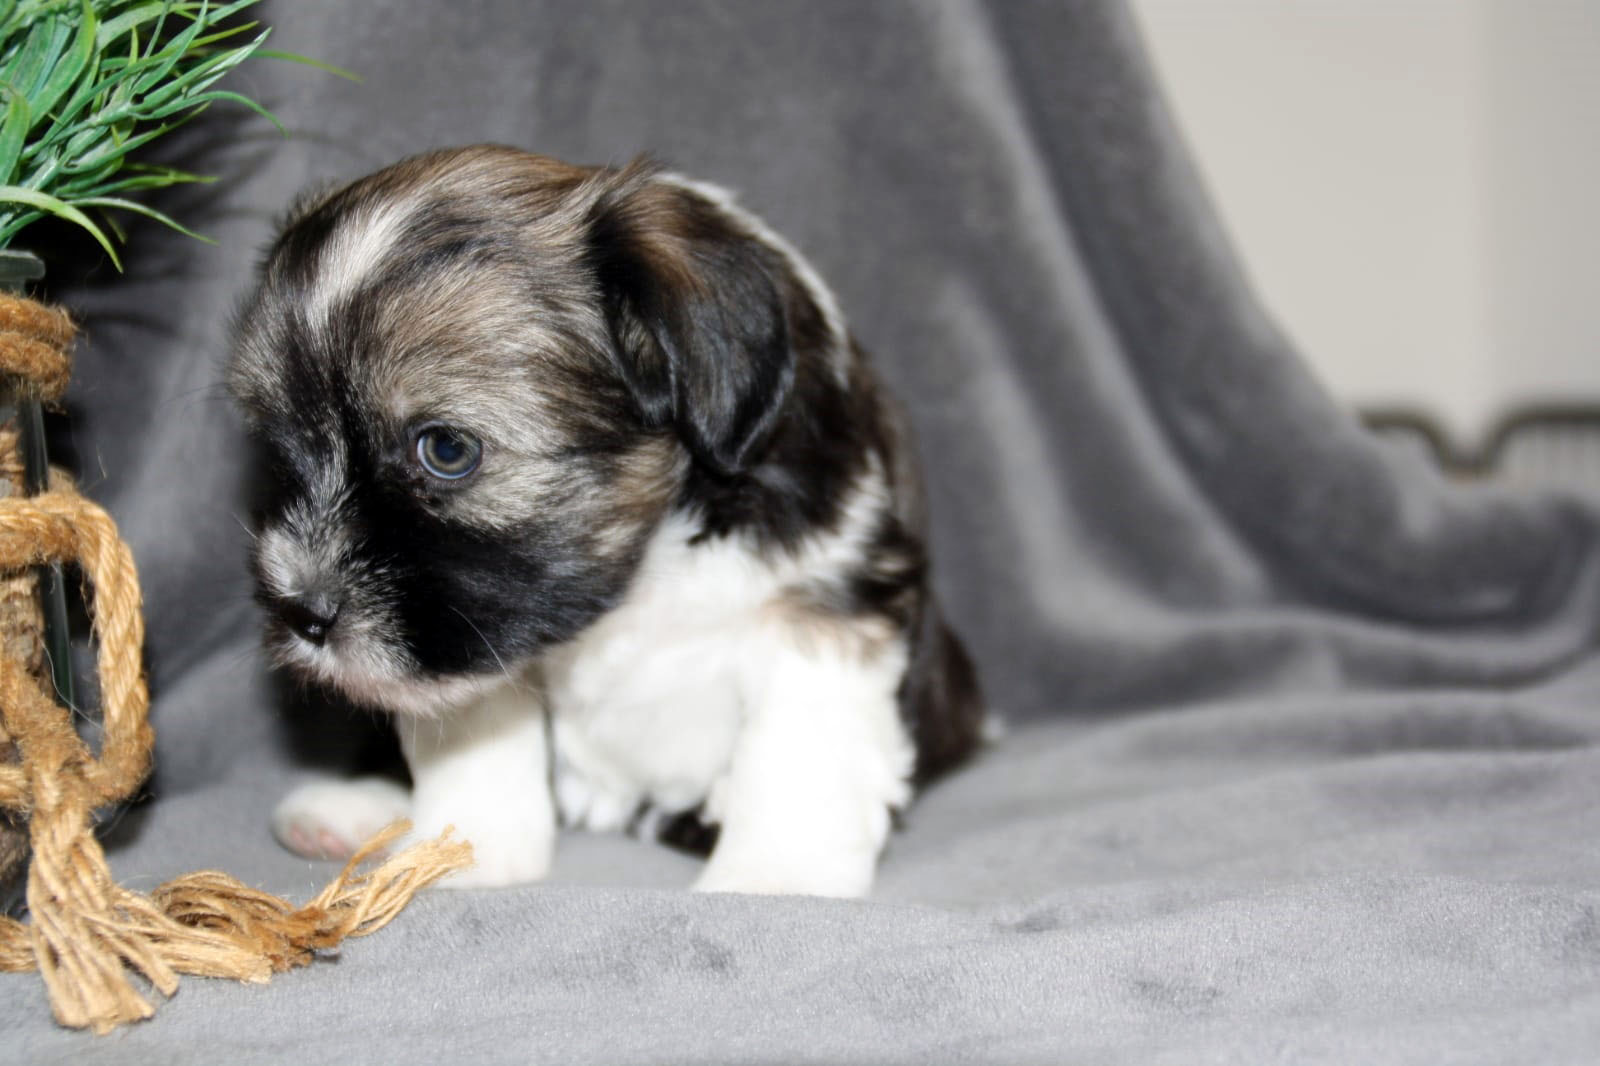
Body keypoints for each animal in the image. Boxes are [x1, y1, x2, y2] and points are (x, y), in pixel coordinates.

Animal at [229, 145, 984, 896]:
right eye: (285, 449)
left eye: (446, 449)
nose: (303, 611)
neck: (646, 559)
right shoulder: (484, 646)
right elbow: (480, 737)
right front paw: (469, 852)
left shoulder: (821, 605)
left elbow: (798, 751)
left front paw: (774, 879)